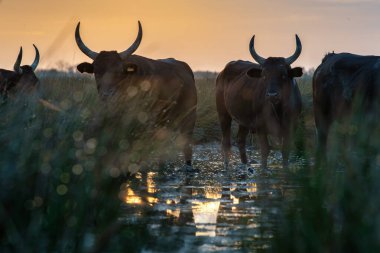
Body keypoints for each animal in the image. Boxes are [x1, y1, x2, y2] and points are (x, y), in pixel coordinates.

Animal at [217, 34, 302, 169]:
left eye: (283, 75)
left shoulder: (292, 126)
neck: (278, 110)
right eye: (264, 75)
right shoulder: (261, 127)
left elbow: (285, 150)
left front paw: (285, 168)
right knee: (226, 141)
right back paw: (227, 165)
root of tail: (221, 73)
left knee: (240, 139)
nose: (272, 95)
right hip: (223, 114)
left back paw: (245, 164)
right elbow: (265, 150)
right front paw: (264, 168)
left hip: (244, 120)